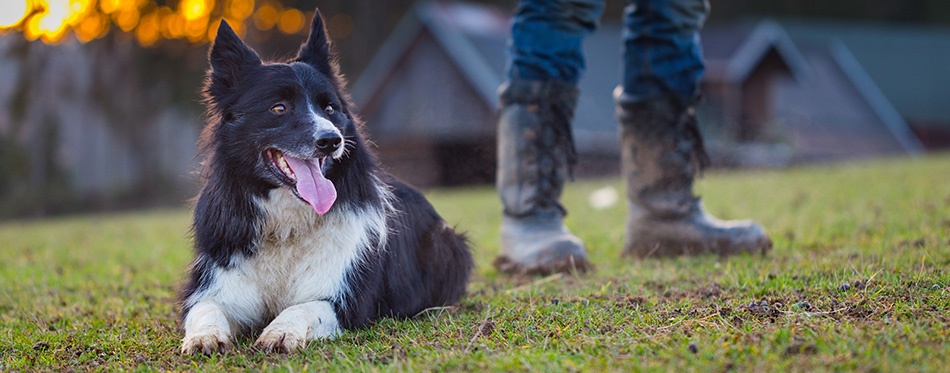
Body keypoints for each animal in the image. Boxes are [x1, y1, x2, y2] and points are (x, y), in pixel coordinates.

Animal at [178, 10, 472, 354]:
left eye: (329, 108)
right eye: (279, 108)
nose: (332, 140)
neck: (286, 228)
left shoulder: (347, 300)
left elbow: (305, 306)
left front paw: (281, 331)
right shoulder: (213, 285)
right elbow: (205, 309)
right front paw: (204, 336)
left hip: (448, 243)